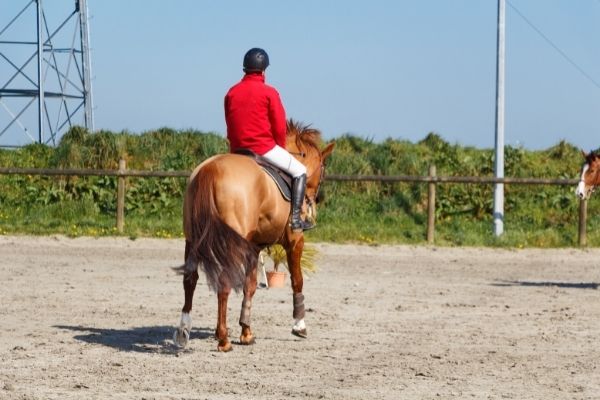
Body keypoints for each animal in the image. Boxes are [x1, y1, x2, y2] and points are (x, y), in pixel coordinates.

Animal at [173, 120, 336, 352]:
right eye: (323, 169)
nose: (315, 199)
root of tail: (210, 169)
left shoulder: (253, 247)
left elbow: (249, 286)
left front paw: (246, 332)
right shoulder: (295, 241)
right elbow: (297, 280)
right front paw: (299, 325)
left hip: (193, 239)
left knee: (190, 280)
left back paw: (183, 332)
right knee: (224, 283)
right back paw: (223, 340)